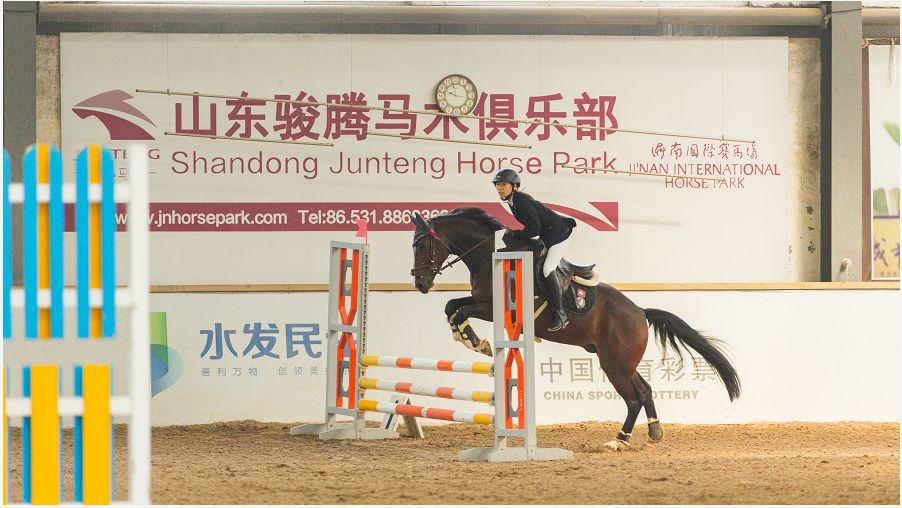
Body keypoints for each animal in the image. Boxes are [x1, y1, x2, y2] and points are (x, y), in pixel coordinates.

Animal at [409, 207, 741, 451]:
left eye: (423, 244)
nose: (421, 284)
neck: (488, 256)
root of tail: (640, 312)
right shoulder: (482, 301)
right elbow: (452, 306)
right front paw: (466, 336)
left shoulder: (494, 309)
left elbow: (460, 310)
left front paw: (476, 341)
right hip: (622, 362)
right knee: (645, 390)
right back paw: (653, 431)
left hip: (614, 364)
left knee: (634, 398)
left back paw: (618, 441)